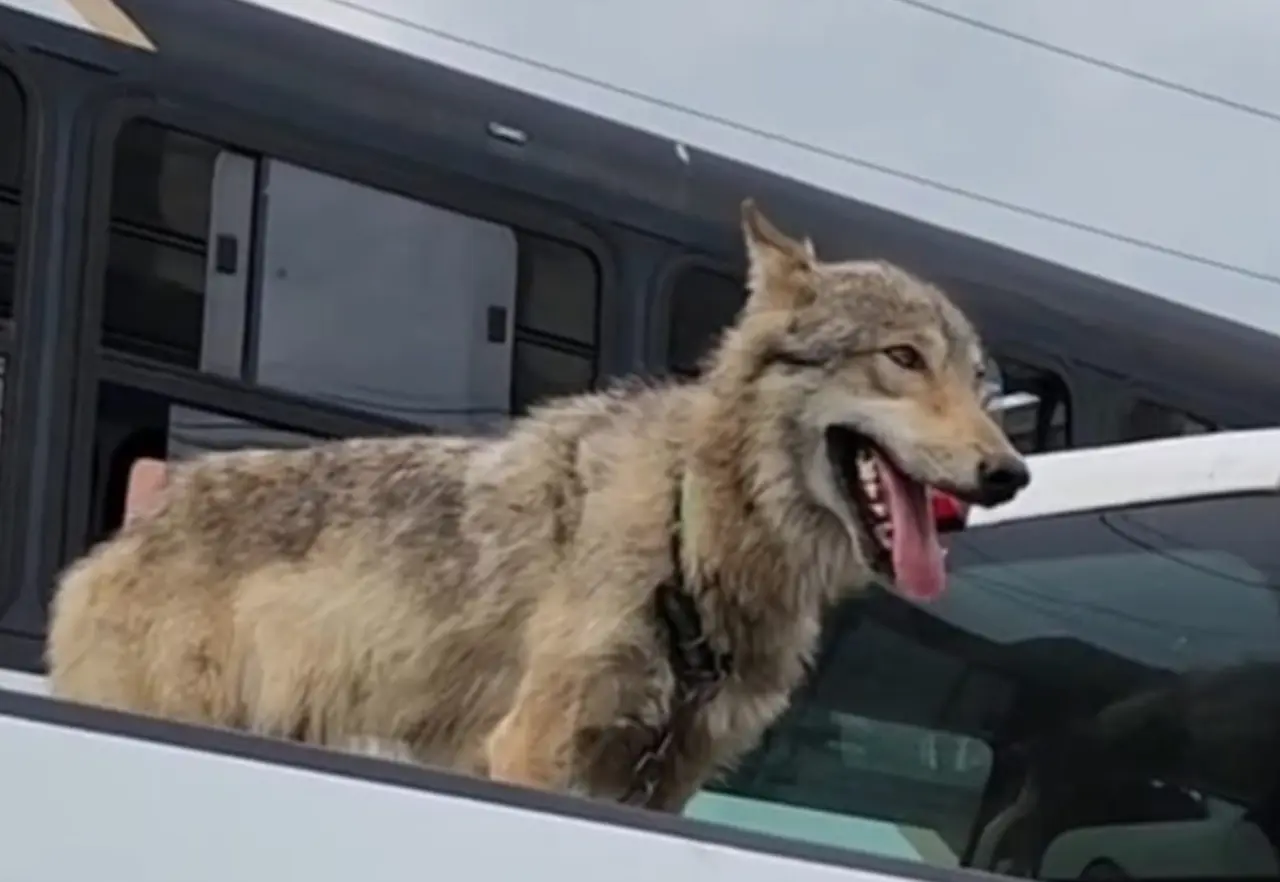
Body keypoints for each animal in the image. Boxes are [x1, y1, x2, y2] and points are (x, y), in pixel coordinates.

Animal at [45, 200, 1029, 814]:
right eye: (903, 359)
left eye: (984, 386)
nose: (1010, 472)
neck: (689, 537)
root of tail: (127, 535)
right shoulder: (531, 747)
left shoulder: (668, 781)